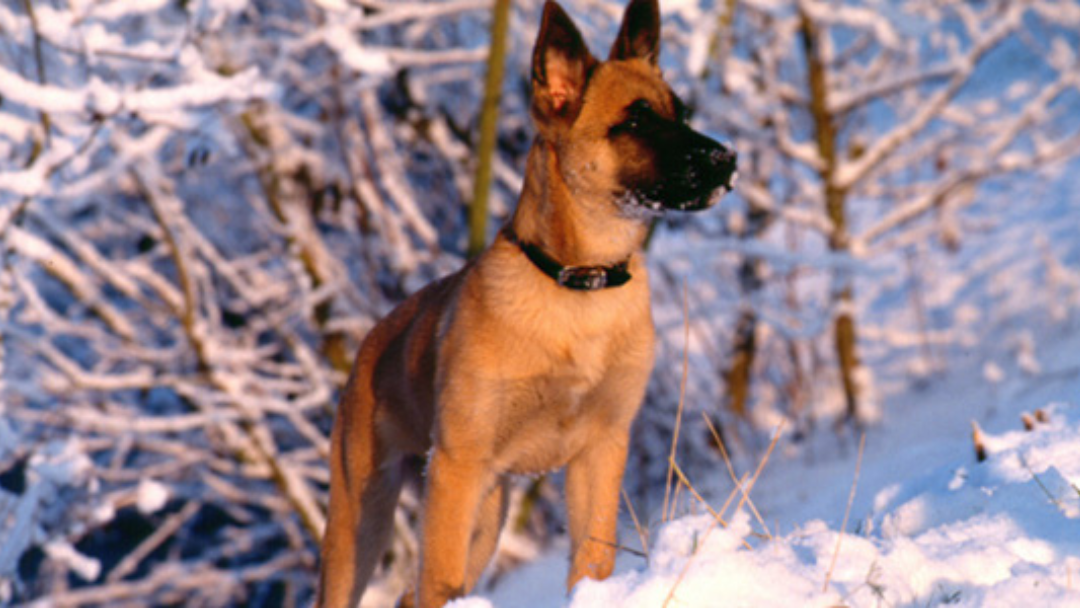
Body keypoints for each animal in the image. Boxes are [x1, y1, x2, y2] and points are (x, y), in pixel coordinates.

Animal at [313, 2, 734, 604]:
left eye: (680, 113)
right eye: (635, 122)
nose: (729, 160)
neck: (577, 285)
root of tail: (372, 341)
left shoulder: (599, 454)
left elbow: (592, 563)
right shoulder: (458, 466)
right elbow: (438, 577)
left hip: (485, 513)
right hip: (365, 516)